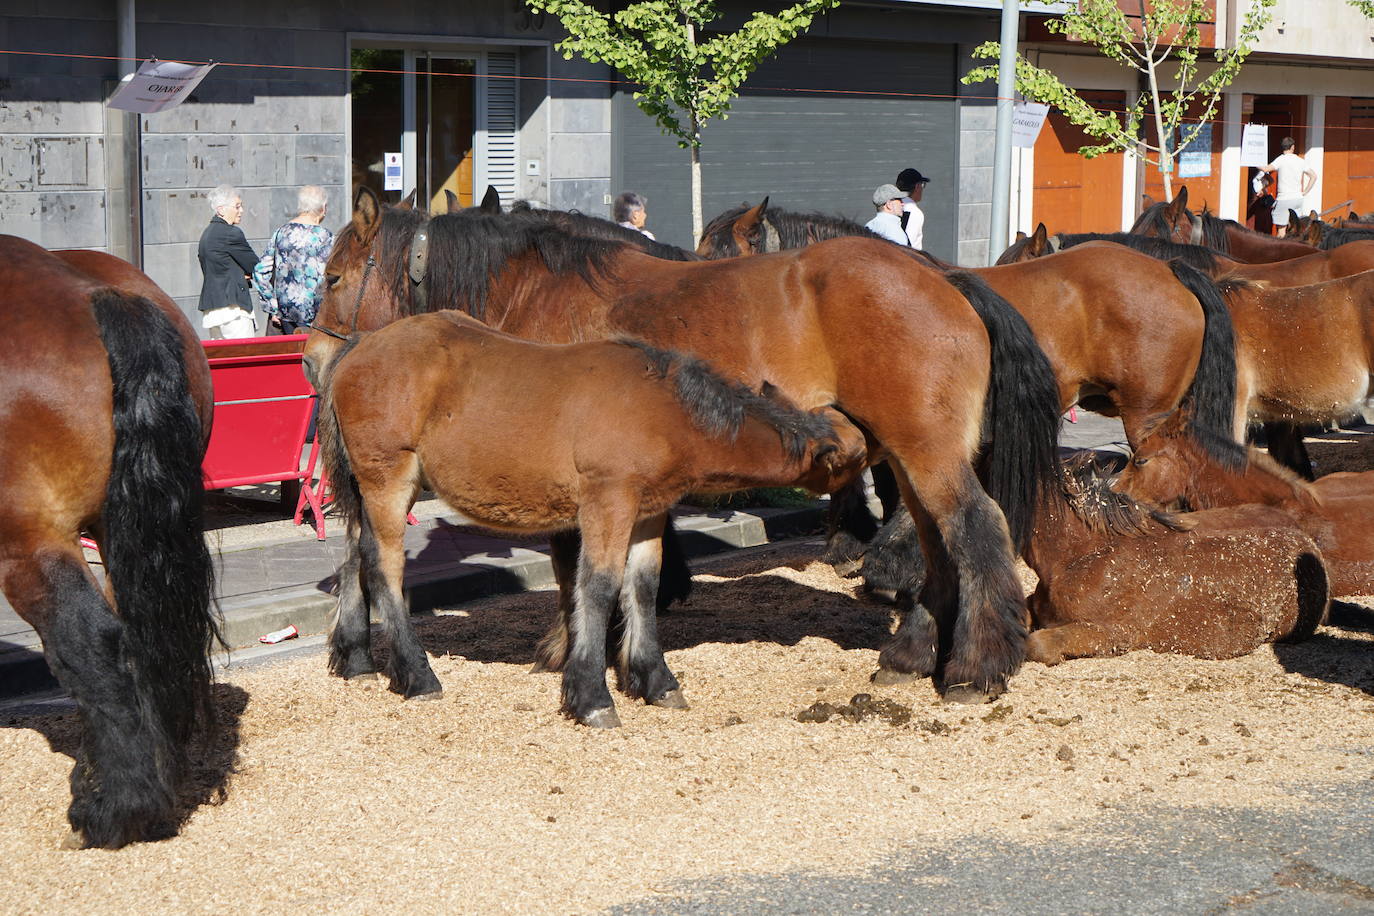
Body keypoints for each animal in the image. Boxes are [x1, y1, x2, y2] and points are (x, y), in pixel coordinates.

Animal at [316, 311, 862, 725]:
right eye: (853, 461)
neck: (663, 409)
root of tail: (361, 344)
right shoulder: (608, 500)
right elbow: (598, 586)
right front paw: (592, 696)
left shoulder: (647, 512)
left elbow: (642, 586)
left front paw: (655, 679)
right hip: (389, 480)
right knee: (383, 567)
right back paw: (418, 674)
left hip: (369, 490)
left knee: (354, 559)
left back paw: (357, 659)